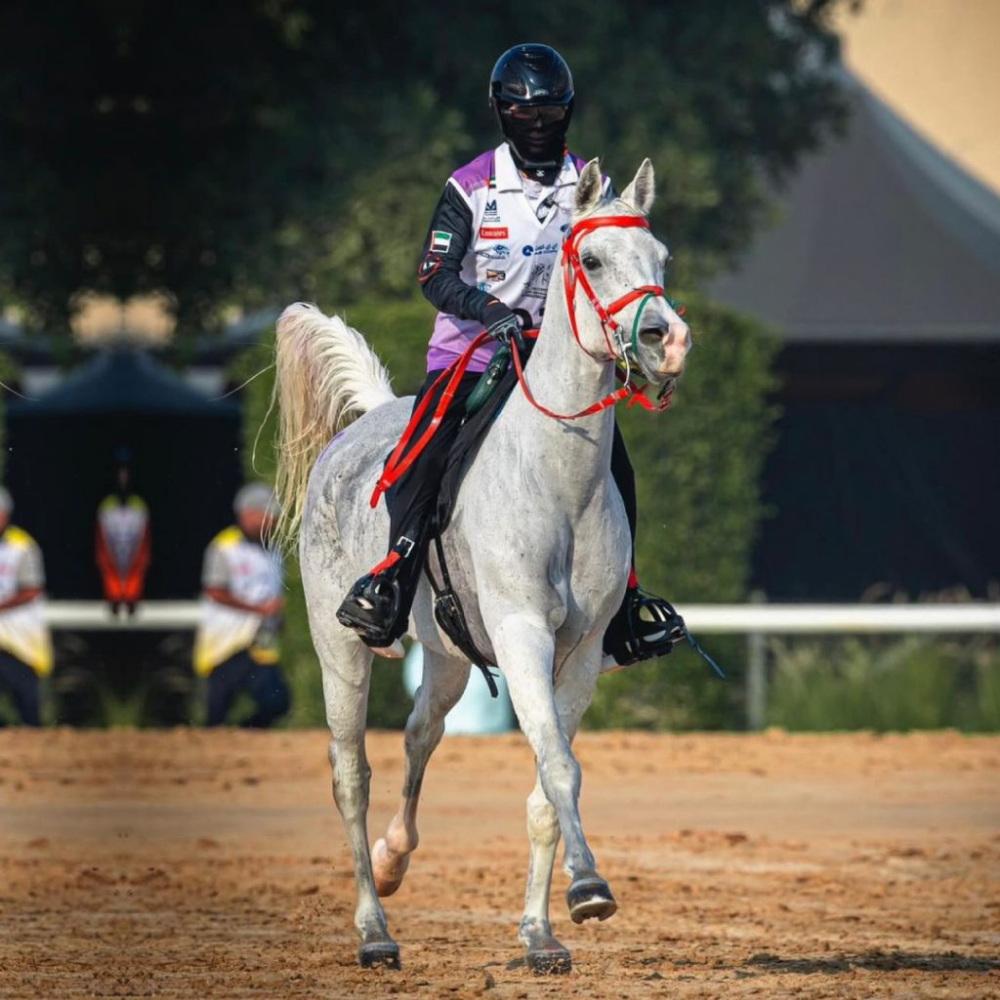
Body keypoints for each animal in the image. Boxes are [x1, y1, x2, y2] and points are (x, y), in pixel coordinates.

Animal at [271, 158, 691, 973]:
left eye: (660, 259)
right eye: (593, 260)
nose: (668, 340)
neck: (556, 477)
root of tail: (364, 425)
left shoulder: (578, 654)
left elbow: (545, 788)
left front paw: (541, 935)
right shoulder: (524, 633)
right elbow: (557, 768)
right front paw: (589, 890)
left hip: (449, 657)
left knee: (419, 735)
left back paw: (395, 859)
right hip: (341, 648)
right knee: (351, 776)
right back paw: (374, 930)